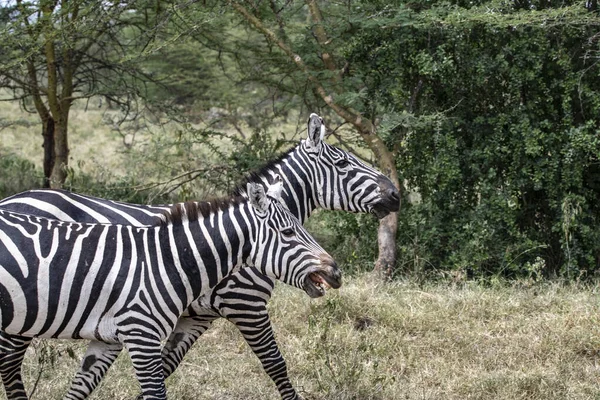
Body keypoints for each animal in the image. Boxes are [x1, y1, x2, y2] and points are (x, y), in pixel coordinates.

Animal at [0, 180, 340, 400]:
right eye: (288, 232)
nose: (335, 272)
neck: (164, 262)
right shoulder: (143, 335)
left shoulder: (107, 339)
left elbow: (81, 387)